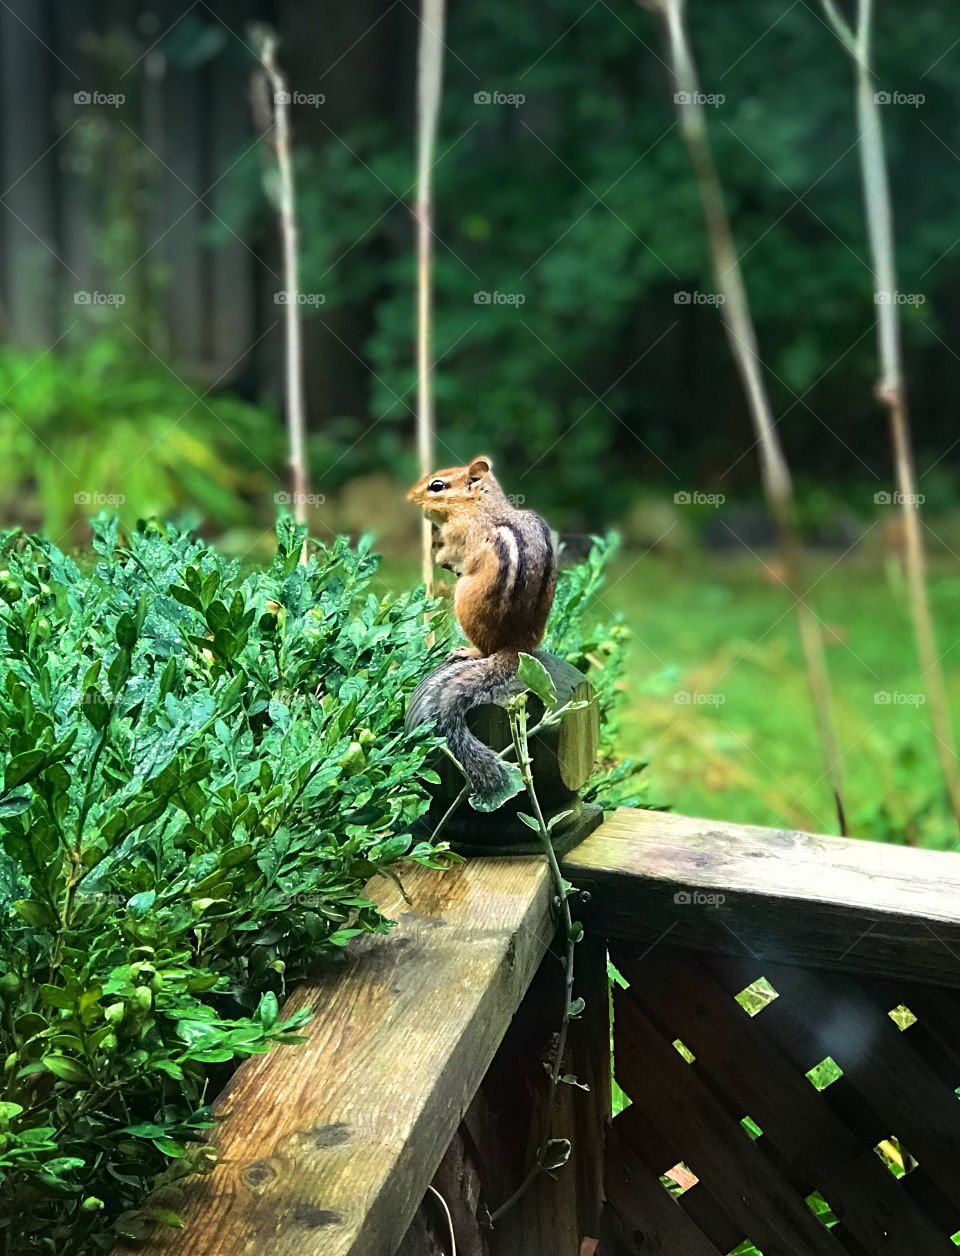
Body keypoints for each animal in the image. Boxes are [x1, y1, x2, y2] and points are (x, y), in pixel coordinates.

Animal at [406, 455, 556, 806]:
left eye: (437, 486)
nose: (410, 498)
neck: (479, 503)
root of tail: (516, 647)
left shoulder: (462, 532)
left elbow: (452, 551)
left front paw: (439, 552)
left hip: (464, 600)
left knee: (483, 649)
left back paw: (466, 650)